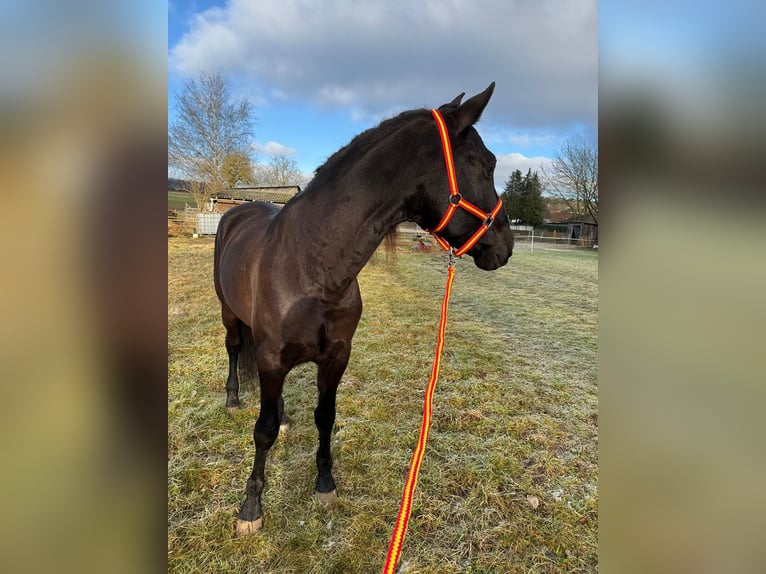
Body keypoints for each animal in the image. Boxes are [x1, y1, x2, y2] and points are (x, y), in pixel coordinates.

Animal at [214, 84, 516, 536]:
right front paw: (250, 508)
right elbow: (262, 432)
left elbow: (325, 417)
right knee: (234, 350)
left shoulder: (337, 356)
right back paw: (233, 399)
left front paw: (324, 483)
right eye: (488, 163)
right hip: (231, 317)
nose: (506, 245)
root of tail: (236, 209)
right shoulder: (269, 357)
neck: (312, 265)